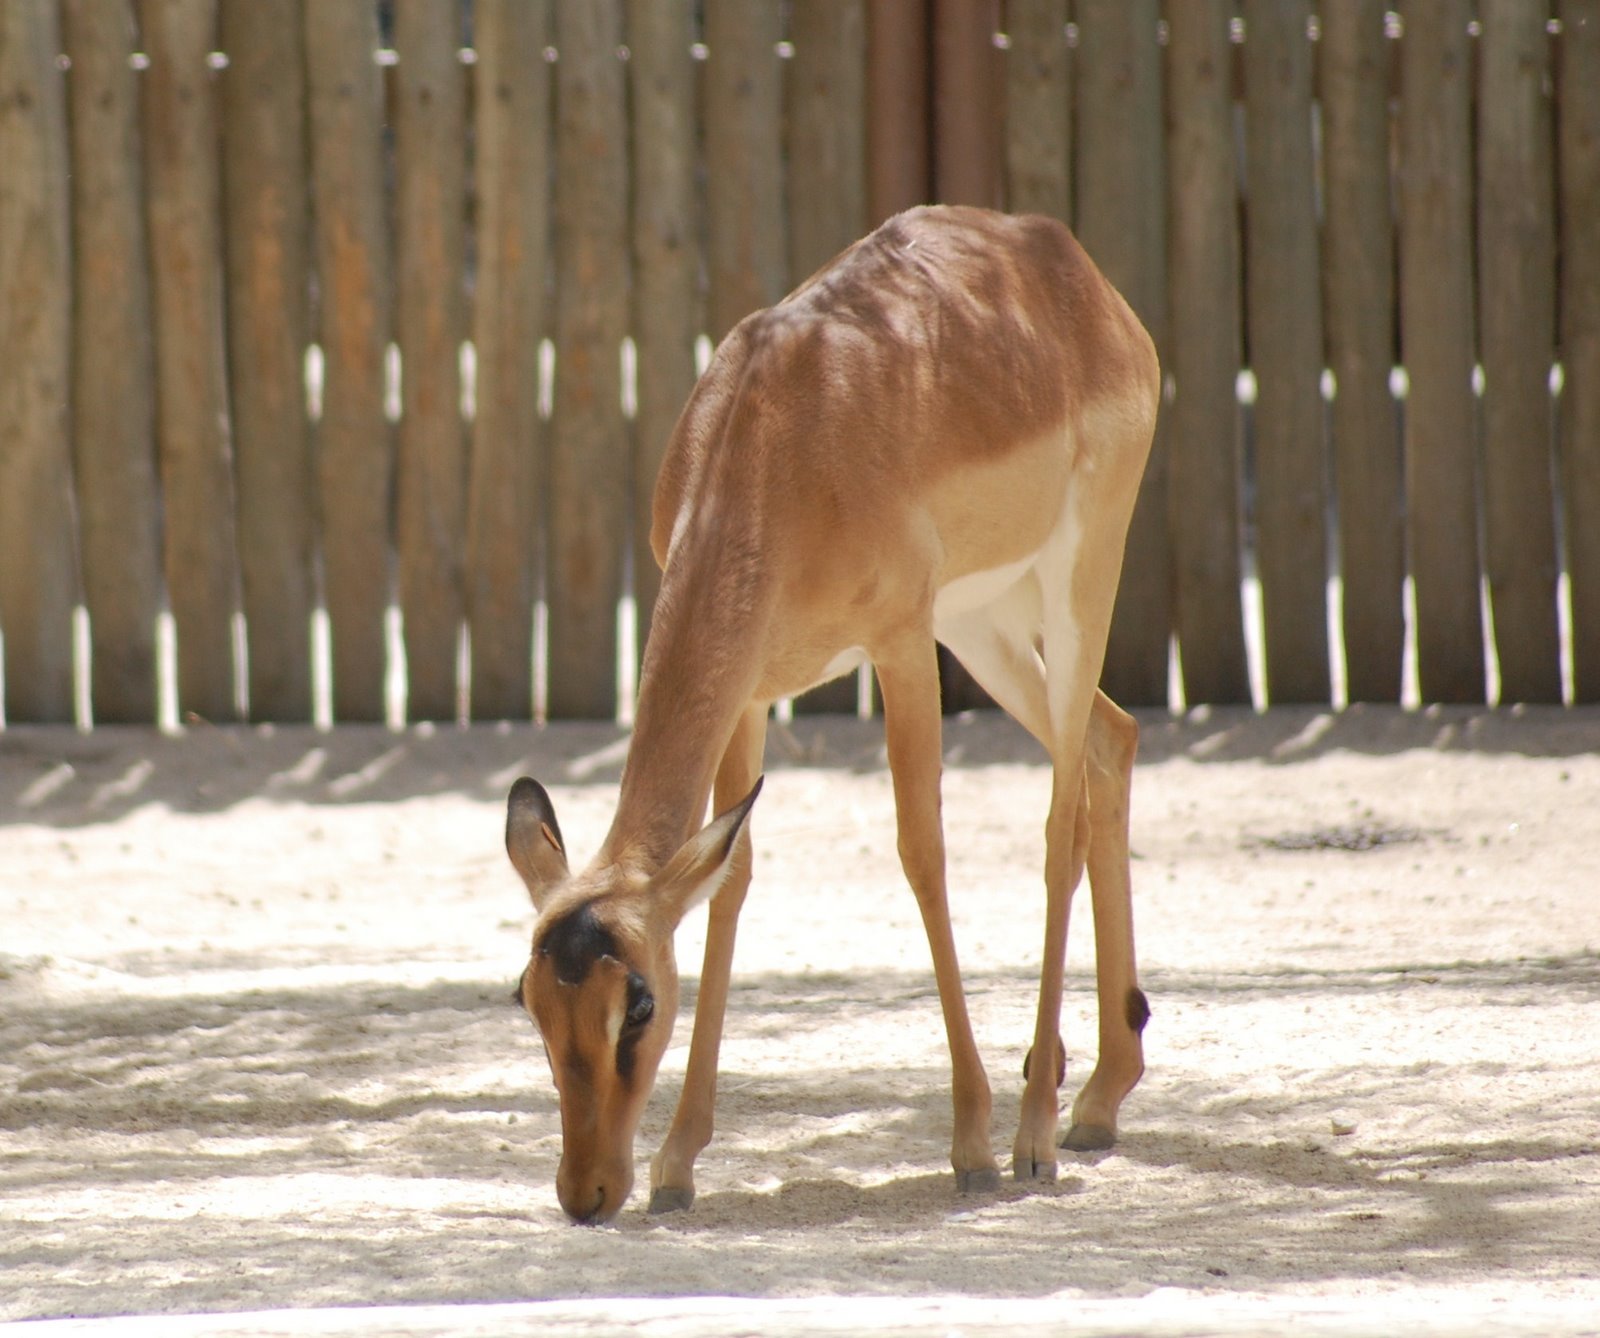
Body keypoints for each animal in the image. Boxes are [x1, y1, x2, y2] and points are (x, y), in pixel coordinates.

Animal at [506, 205, 1157, 1224]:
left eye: (638, 1003)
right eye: (526, 997)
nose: (586, 1190)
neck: (781, 430)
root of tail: (1069, 267)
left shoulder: (899, 646)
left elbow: (922, 854)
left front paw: (972, 1144)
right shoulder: (749, 691)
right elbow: (731, 880)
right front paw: (678, 1164)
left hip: (1073, 583)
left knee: (1063, 818)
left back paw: (1036, 1137)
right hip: (983, 621)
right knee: (1108, 739)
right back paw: (1096, 1098)